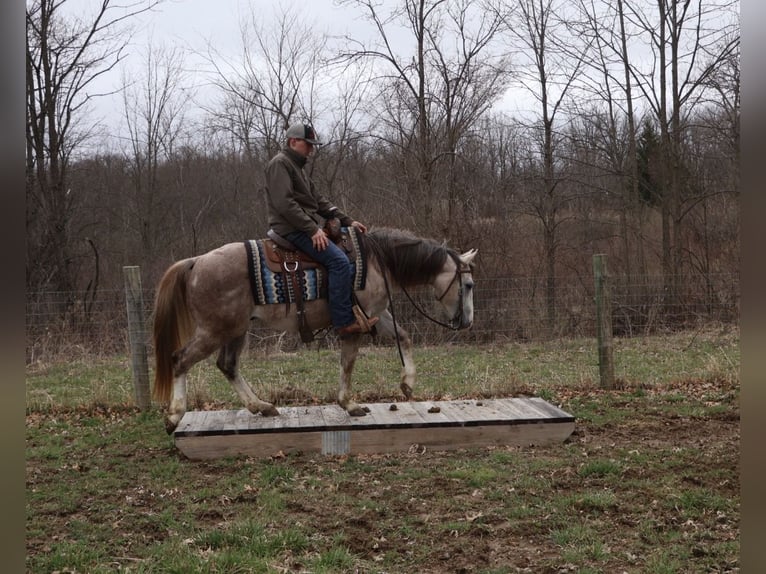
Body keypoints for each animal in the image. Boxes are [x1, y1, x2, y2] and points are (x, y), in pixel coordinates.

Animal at [152, 227, 477, 433]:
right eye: (469, 285)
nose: (467, 323)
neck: (378, 261)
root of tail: (195, 263)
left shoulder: (375, 314)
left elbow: (404, 336)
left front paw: (407, 383)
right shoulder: (355, 323)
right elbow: (348, 362)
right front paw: (350, 404)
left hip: (235, 330)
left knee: (227, 365)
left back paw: (261, 406)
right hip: (214, 330)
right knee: (180, 360)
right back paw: (175, 415)